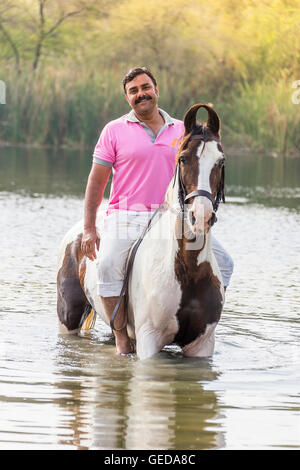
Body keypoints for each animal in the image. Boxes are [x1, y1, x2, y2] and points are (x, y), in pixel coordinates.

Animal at [56, 103, 226, 360]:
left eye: (220, 162)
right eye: (184, 159)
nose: (202, 215)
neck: (187, 270)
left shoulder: (202, 345)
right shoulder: (149, 341)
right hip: (67, 320)